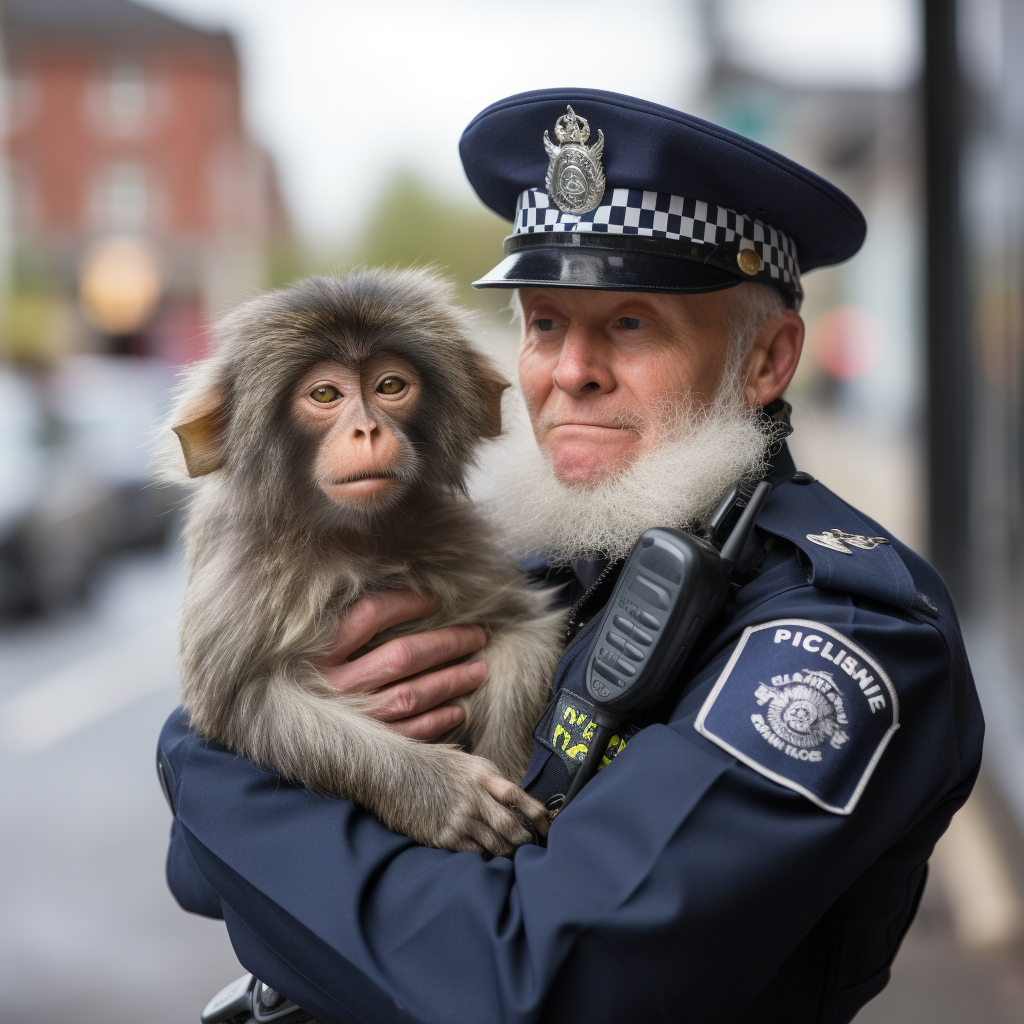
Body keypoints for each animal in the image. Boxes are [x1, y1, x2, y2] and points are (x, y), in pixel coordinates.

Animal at [155, 270, 565, 856]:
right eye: (325, 394)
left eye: (389, 387)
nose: (366, 431)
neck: (356, 536)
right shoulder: (242, 567)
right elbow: (244, 702)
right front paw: (444, 794)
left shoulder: (456, 544)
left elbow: (521, 630)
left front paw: (507, 766)